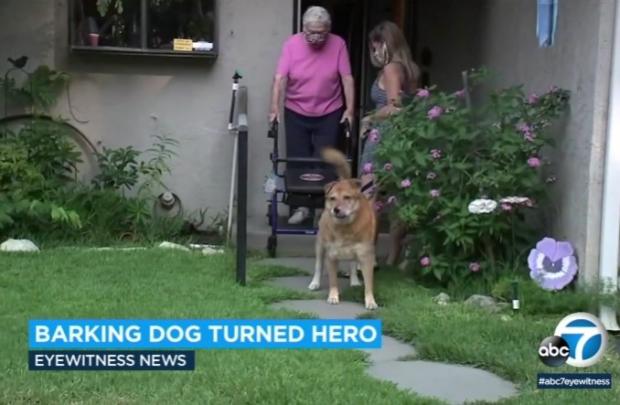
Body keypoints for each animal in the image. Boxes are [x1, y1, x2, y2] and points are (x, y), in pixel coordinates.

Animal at [306, 147, 378, 308]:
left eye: (347, 197)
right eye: (332, 198)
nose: (336, 209)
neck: (345, 228)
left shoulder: (366, 256)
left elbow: (369, 283)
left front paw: (370, 301)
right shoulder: (331, 256)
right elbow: (333, 281)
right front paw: (333, 297)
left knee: (352, 264)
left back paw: (355, 281)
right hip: (320, 245)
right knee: (318, 266)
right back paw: (315, 283)